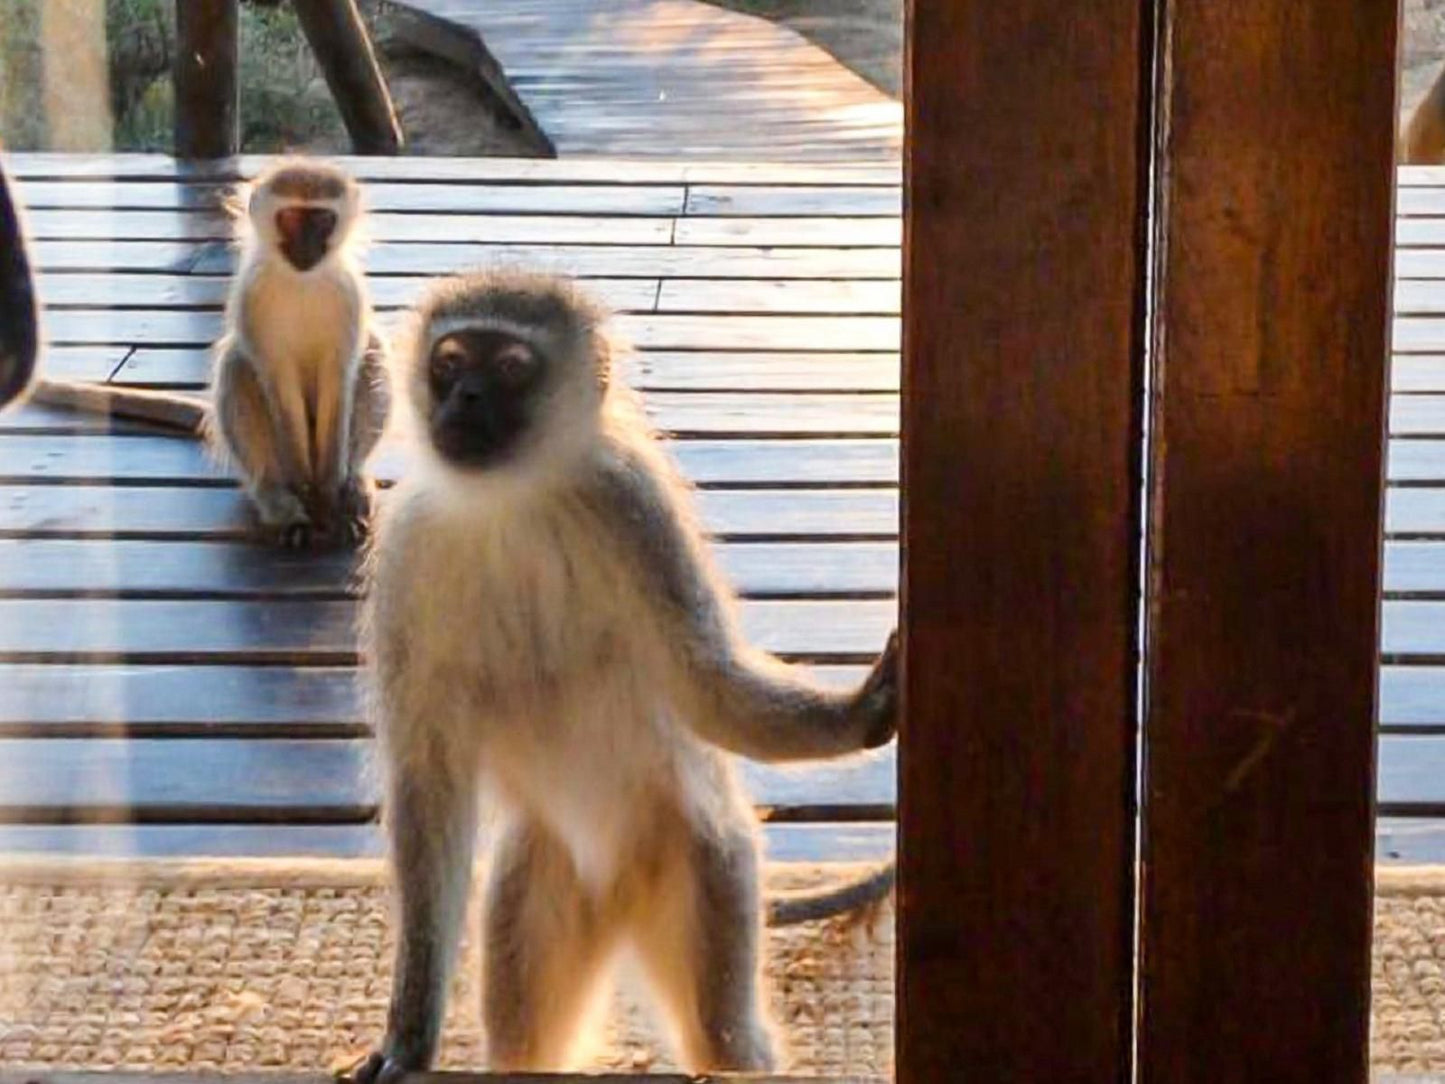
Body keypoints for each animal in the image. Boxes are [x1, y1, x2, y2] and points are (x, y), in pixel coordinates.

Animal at [30, 158, 390, 543]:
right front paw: (303, 490)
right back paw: (277, 498)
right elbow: (275, 380)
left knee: (372, 351)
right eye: (291, 218)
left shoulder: (350, 297)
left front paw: (332, 490)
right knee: (237, 365)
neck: (302, 281)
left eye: (322, 219)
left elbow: (341, 378)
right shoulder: (251, 299)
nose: (306, 245)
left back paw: (354, 484)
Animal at [355, 270, 895, 1081]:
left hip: (706, 863)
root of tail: (615, 896)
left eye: (509, 367)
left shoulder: (633, 506)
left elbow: (705, 681)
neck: (513, 499)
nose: (466, 399)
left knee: (725, 1034)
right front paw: (409, 1036)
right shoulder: (408, 548)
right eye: (449, 362)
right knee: (525, 1044)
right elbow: (428, 780)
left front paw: (859, 714)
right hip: (537, 884)